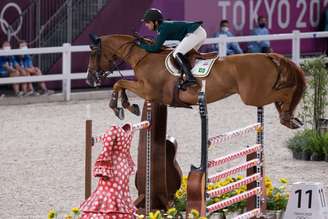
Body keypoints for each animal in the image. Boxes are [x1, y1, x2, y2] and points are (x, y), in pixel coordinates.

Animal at [86, 34, 306, 129]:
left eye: (93, 53)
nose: (89, 79)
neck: (144, 57)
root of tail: (268, 55)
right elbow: (121, 84)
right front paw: (127, 105)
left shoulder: (149, 90)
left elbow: (120, 83)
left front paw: (120, 107)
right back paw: (289, 116)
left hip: (253, 95)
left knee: (285, 92)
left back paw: (287, 115)